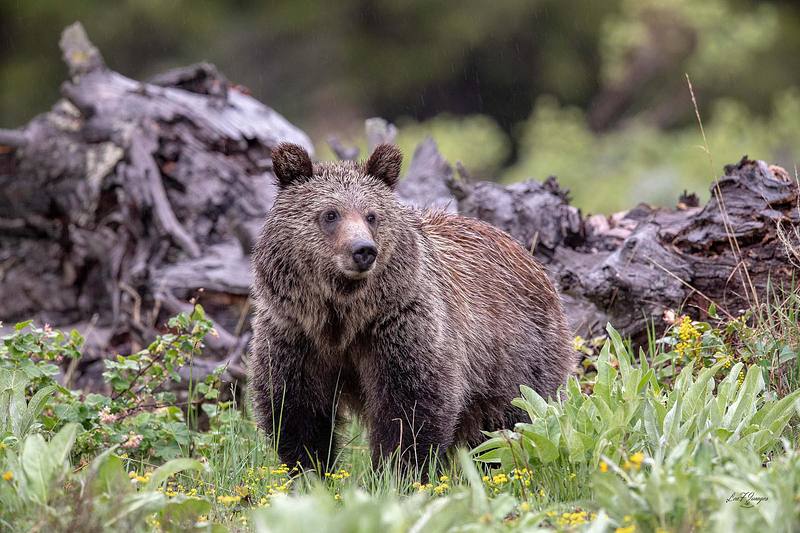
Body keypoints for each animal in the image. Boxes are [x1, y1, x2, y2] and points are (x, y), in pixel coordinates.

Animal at [248, 142, 575, 474]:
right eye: (330, 214)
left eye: (371, 215)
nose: (363, 250)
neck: (344, 317)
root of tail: (532, 259)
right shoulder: (295, 334)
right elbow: (298, 409)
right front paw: (310, 470)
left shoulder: (401, 327)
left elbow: (410, 407)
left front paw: (398, 471)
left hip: (517, 356)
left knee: (518, 415)